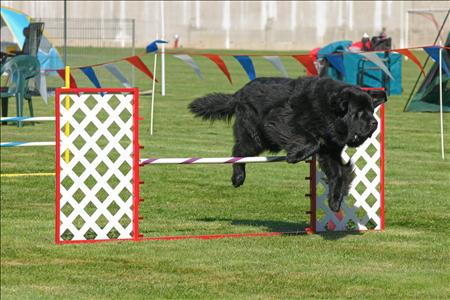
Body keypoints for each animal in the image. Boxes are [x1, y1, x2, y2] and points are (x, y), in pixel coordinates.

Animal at [188, 76, 384, 212]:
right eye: (359, 112)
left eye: (371, 111)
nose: (375, 123)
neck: (329, 111)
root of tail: (239, 92)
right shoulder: (280, 119)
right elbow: (311, 141)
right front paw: (295, 155)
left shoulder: (331, 149)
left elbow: (338, 173)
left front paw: (335, 201)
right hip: (255, 136)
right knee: (239, 150)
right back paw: (238, 177)